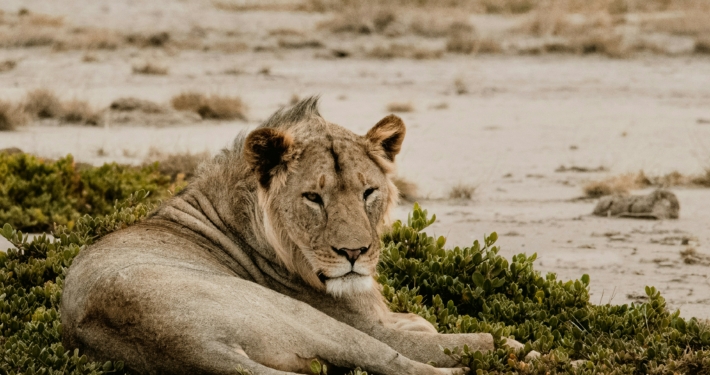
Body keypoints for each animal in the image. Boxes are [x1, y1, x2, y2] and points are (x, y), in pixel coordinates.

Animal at [61, 98, 524, 374]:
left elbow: (421, 323)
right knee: (408, 360)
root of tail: (192, 348)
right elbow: (443, 338)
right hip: (307, 319)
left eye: (368, 192)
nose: (354, 252)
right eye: (313, 197)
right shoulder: (370, 324)